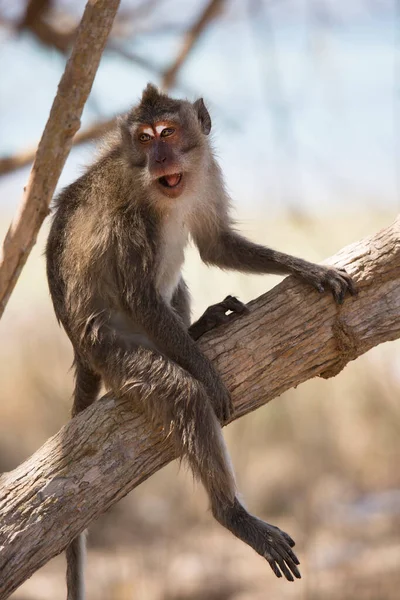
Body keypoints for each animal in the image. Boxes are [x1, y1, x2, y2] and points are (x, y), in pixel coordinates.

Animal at [46, 84, 356, 600]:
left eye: (168, 132)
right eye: (145, 138)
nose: (159, 158)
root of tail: (76, 345)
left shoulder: (207, 174)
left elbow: (217, 245)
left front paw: (309, 270)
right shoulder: (128, 212)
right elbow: (142, 297)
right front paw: (208, 375)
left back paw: (198, 330)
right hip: (113, 348)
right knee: (181, 394)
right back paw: (230, 512)